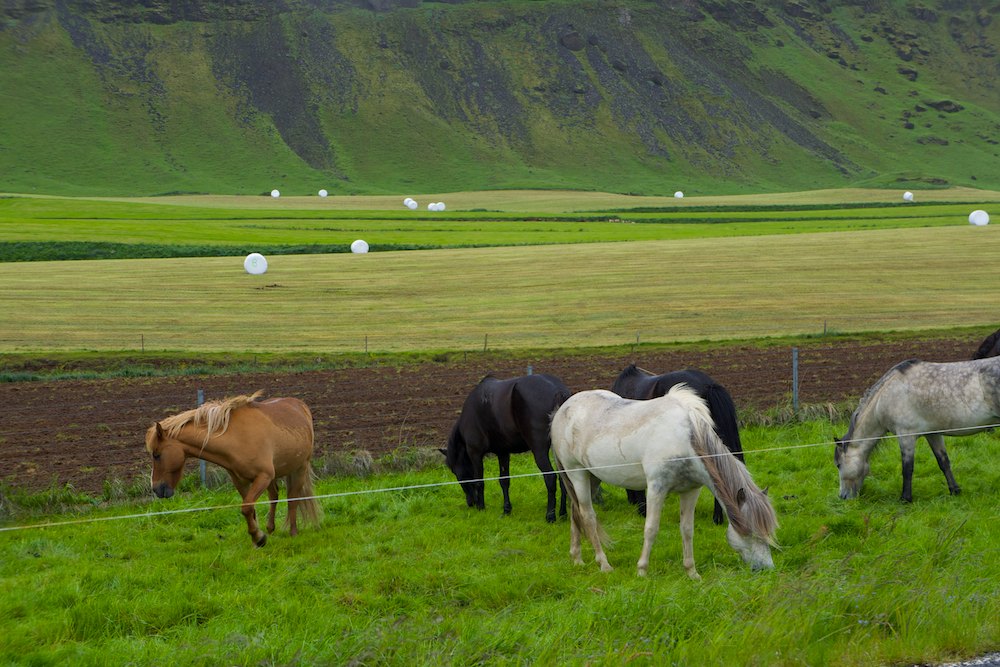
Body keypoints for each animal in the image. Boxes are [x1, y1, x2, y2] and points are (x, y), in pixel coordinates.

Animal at [145, 392, 320, 548]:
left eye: (157, 455)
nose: (156, 488)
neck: (237, 439)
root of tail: (300, 405)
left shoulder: (262, 477)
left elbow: (247, 508)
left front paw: (258, 538)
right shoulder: (241, 482)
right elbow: (250, 509)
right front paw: (258, 537)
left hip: (300, 468)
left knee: (293, 498)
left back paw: (293, 532)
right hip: (274, 476)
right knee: (274, 496)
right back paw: (270, 529)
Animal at [440, 374, 572, 524]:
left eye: (457, 473)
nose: (470, 503)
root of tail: (558, 391)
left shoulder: (475, 453)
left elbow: (479, 481)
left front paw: (481, 507)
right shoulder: (503, 453)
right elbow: (504, 480)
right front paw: (506, 510)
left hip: (539, 451)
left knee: (550, 477)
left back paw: (550, 516)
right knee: (563, 478)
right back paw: (562, 514)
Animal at [552, 386, 776, 580]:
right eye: (751, 532)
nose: (767, 569)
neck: (685, 439)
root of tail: (562, 410)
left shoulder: (690, 491)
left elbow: (687, 530)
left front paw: (692, 572)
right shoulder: (656, 488)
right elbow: (651, 528)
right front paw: (642, 570)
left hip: (593, 478)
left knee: (575, 511)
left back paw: (577, 559)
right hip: (577, 474)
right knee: (588, 516)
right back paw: (604, 564)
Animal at [832, 358, 1000, 504]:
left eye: (838, 465)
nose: (842, 496)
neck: (886, 395)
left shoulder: (906, 436)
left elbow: (907, 468)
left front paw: (905, 498)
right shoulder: (933, 434)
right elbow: (943, 462)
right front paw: (955, 490)